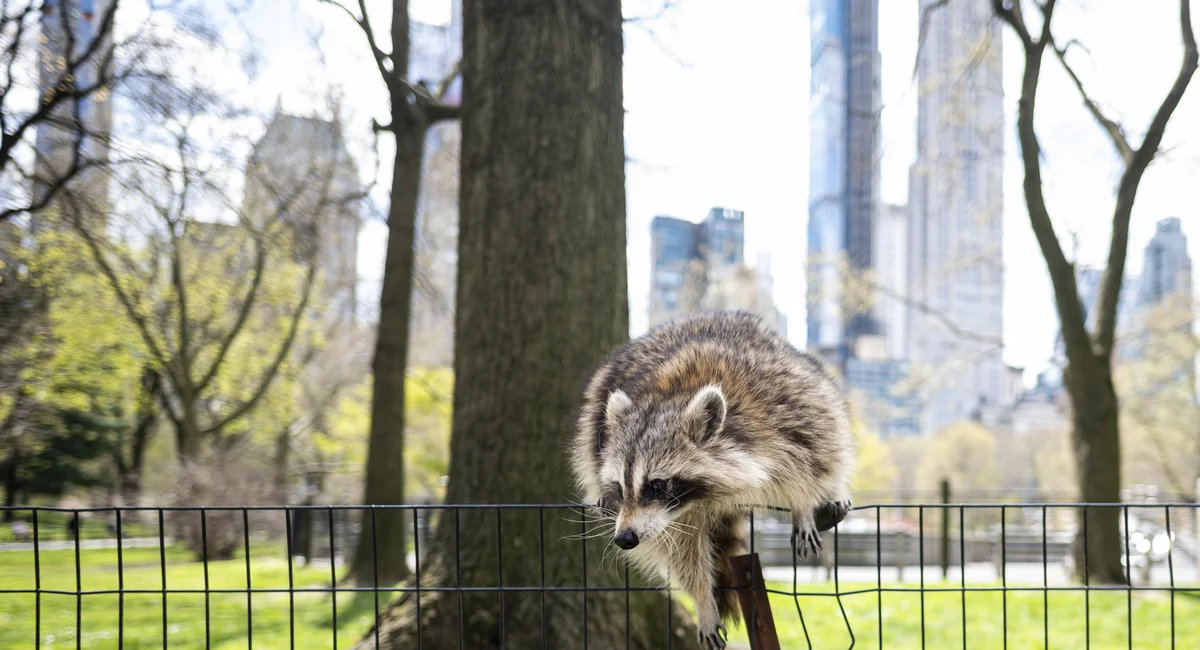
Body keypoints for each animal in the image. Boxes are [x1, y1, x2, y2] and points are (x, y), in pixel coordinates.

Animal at [570, 311, 855, 649]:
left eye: (656, 484)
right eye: (619, 486)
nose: (624, 538)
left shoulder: (784, 408)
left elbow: (810, 457)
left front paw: (802, 504)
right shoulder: (674, 515)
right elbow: (683, 551)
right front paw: (702, 599)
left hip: (810, 380)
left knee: (833, 435)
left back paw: (833, 492)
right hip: (595, 412)